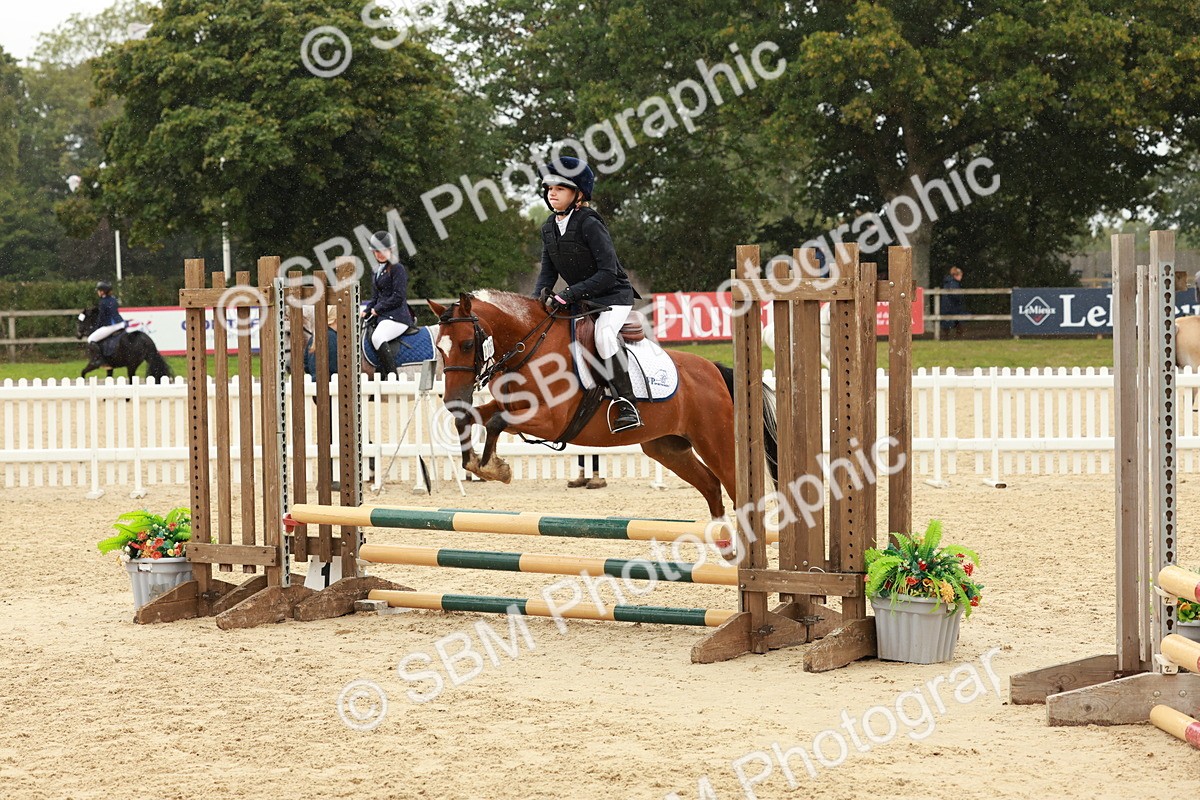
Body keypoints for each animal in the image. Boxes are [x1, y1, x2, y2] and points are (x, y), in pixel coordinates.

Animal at [428, 291, 778, 521]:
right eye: (439, 348)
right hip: (668, 448)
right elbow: (470, 419)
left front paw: (492, 467)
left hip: (717, 444)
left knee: (738, 493)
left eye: (467, 344)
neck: (529, 347)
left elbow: (495, 423)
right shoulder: (510, 407)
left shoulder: (549, 421)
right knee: (711, 487)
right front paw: (479, 464)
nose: (452, 399)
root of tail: (717, 370)